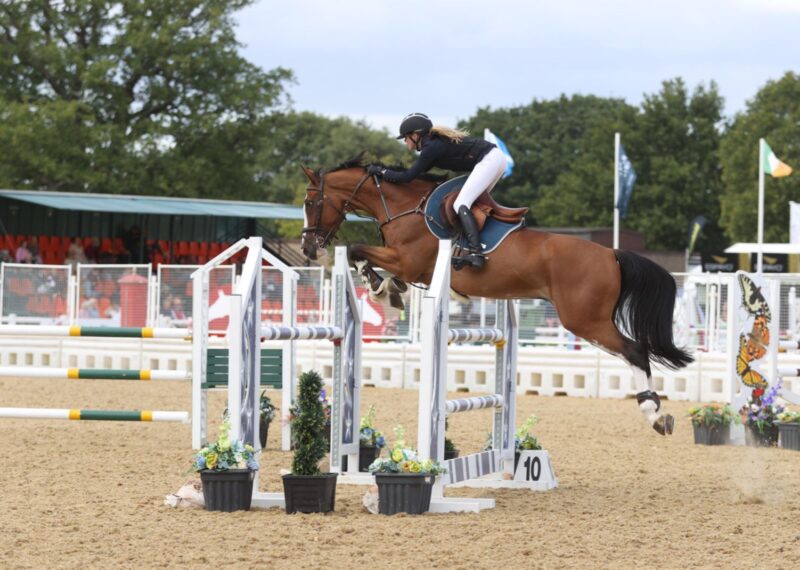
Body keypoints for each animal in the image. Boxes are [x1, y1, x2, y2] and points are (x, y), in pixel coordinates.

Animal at [300, 156, 693, 435]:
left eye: (309, 201)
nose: (307, 248)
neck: (403, 207)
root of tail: (611, 253)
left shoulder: (408, 261)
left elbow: (356, 249)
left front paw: (381, 287)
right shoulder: (410, 267)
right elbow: (366, 258)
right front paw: (389, 290)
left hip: (584, 320)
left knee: (635, 351)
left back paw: (654, 414)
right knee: (635, 351)